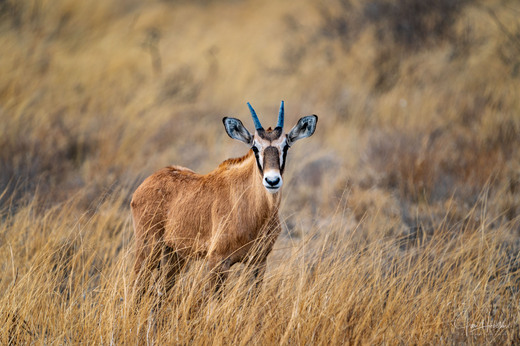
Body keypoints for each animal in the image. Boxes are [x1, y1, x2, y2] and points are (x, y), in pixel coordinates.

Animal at [130, 101, 316, 302]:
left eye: (286, 146)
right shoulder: (217, 261)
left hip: (174, 255)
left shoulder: (258, 262)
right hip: (148, 249)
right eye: (255, 147)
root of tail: (146, 183)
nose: (272, 181)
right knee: (137, 285)